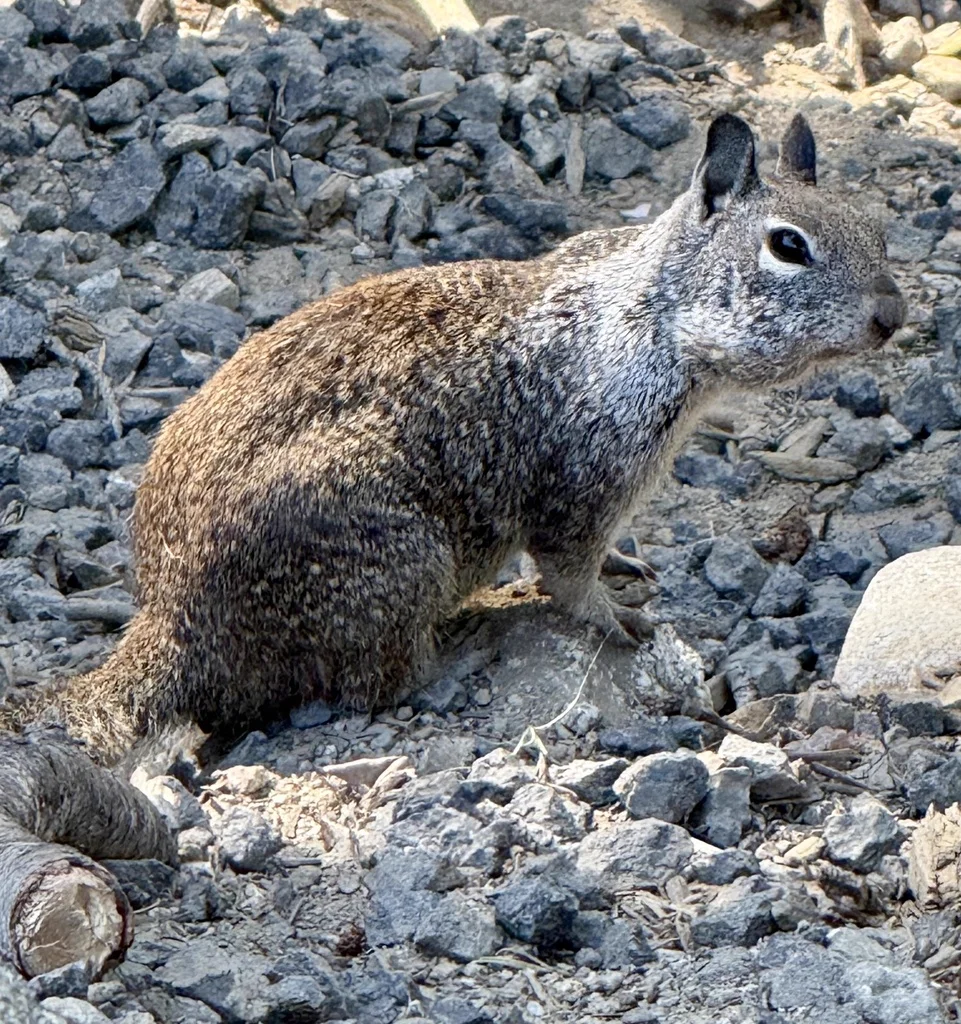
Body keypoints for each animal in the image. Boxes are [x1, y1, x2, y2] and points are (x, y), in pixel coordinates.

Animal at [3, 113, 904, 763]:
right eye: (786, 246)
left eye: (875, 228)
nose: (892, 316)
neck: (649, 317)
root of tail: (170, 628)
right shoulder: (580, 482)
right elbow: (568, 574)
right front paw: (612, 615)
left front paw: (627, 564)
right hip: (400, 561)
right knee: (378, 683)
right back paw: (470, 632)